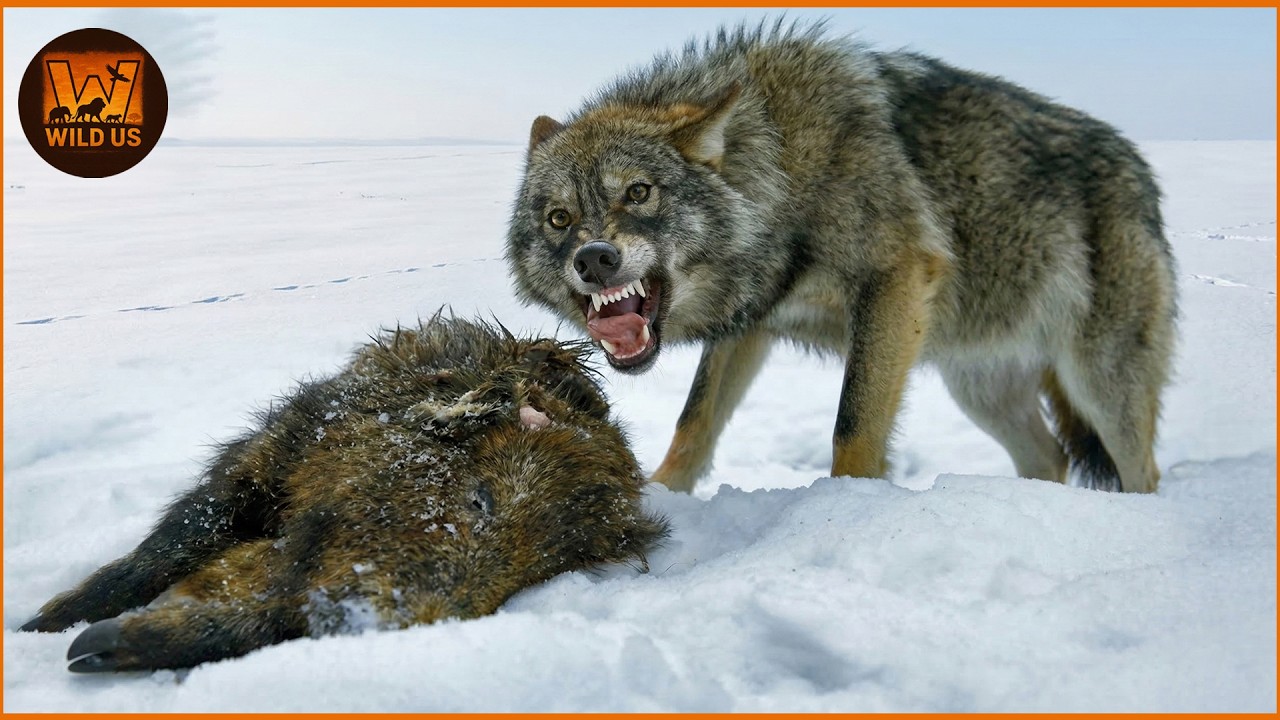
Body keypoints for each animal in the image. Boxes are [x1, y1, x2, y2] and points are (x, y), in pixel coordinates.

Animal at [20, 315, 667, 672]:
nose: (374, 632)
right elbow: (170, 546)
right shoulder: (272, 454)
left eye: (538, 574)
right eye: (480, 499)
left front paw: (96, 649)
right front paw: (42, 627)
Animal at [505, 20, 1177, 494]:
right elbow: (693, 421)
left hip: (1100, 387)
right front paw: (661, 496)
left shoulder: (894, 280)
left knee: (1142, 471)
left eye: (638, 192)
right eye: (559, 218)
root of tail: (1139, 168)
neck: (780, 165)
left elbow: (852, 428)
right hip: (982, 392)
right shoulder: (751, 319)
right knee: (1052, 457)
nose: (594, 259)